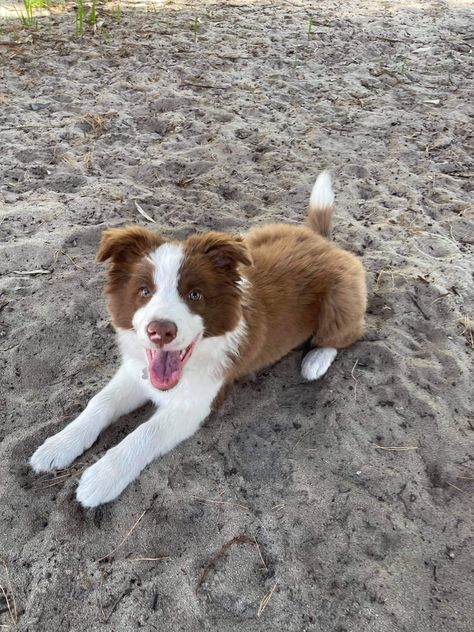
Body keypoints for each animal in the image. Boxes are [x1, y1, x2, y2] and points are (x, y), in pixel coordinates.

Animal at [30, 173, 366, 508]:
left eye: (195, 294)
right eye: (144, 291)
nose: (160, 331)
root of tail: (320, 239)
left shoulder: (194, 405)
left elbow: (146, 432)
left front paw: (101, 477)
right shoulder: (137, 371)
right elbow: (100, 402)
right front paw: (57, 445)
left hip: (339, 304)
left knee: (348, 334)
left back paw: (315, 361)